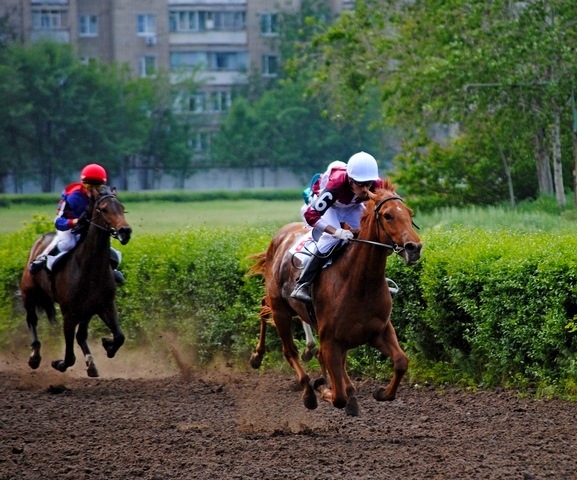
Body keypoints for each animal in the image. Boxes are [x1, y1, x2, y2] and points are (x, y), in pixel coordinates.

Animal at [20, 186, 132, 376]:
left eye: (122, 208)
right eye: (104, 209)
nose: (125, 231)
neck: (90, 270)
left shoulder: (104, 305)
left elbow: (119, 336)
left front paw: (108, 346)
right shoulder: (69, 313)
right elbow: (69, 356)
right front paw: (59, 363)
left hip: (86, 311)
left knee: (81, 335)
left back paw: (91, 364)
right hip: (29, 292)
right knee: (32, 319)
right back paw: (34, 357)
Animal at [248, 181, 418, 416]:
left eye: (410, 213)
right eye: (388, 215)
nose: (415, 248)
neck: (359, 284)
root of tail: (279, 237)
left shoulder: (380, 331)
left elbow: (401, 362)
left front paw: (381, 392)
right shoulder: (330, 340)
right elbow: (338, 396)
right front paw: (322, 387)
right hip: (281, 310)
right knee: (288, 348)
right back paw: (303, 388)